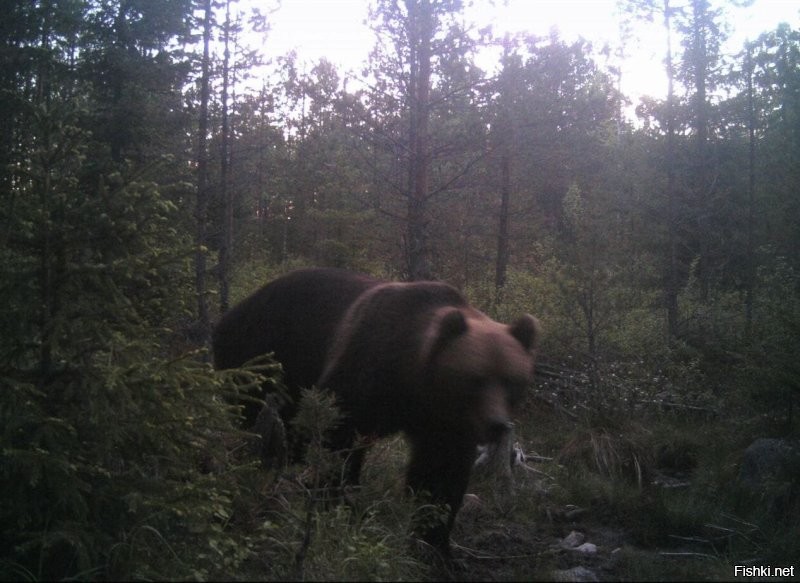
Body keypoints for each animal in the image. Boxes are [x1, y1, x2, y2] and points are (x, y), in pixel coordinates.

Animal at [211, 270, 544, 556]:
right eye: (476, 379)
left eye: (512, 381)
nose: (496, 425)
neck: (412, 379)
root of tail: (229, 314)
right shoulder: (363, 372)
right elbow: (338, 439)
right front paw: (338, 503)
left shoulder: (442, 422)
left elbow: (440, 472)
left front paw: (434, 542)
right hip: (262, 355)